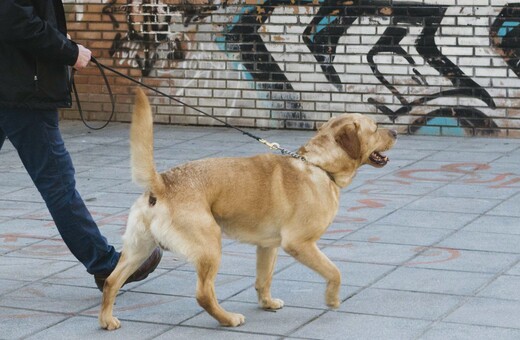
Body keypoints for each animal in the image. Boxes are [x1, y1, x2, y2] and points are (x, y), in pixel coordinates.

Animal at [98, 87, 398, 330]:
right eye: (375, 127)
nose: (395, 130)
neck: (319, 166)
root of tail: (162, 182)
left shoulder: (267, 246)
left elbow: (263, 279)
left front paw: (267, 303)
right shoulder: (300, 244)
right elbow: (334, 271)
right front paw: (332, 299)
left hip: (139, 249)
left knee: (112, 281)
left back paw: (106, 320)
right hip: (210, 245)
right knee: (204, 294)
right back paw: (228, 319)